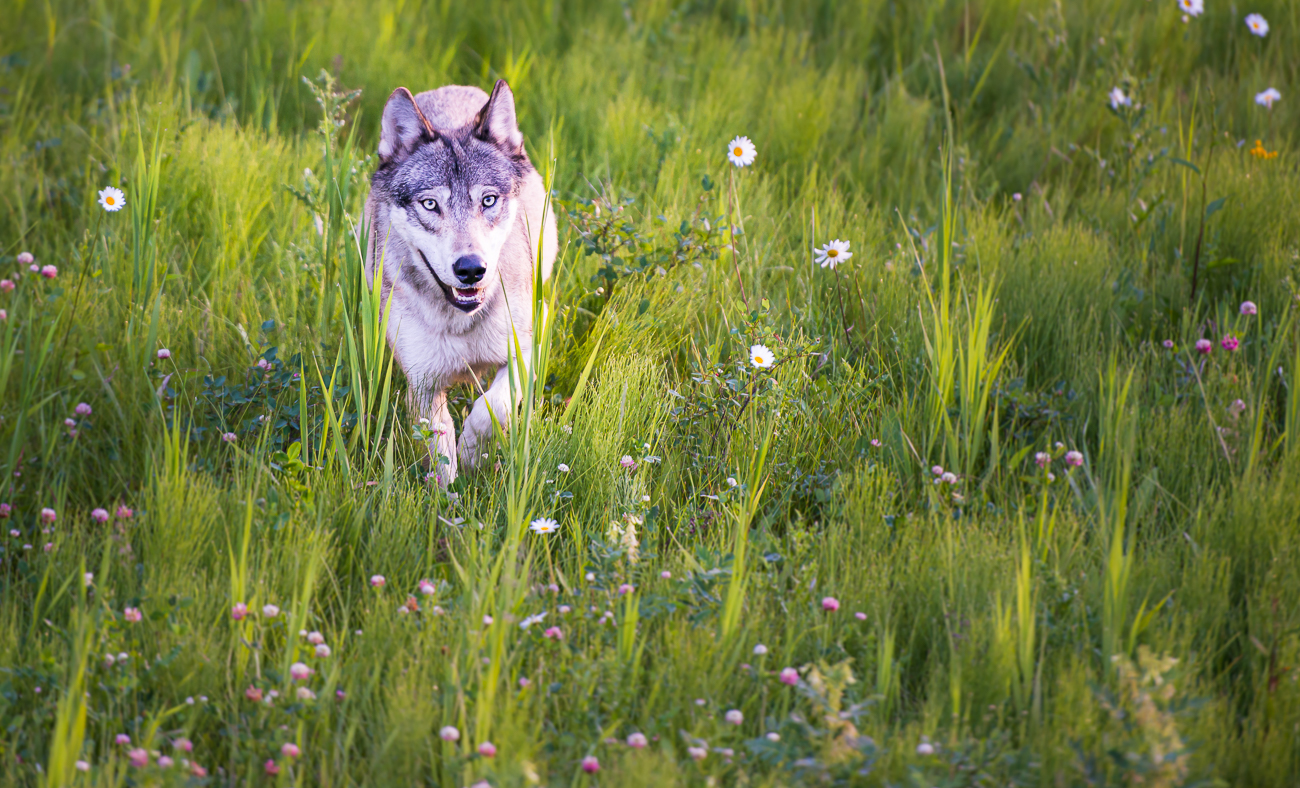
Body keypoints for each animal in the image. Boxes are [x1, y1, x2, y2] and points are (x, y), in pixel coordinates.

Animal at [363, 79, 556, 484]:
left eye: (488, 200)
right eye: (430, 205)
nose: (470, 269)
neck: (461, 322)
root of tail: (451, 87)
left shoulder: (529, 347)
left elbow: (492, 408)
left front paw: (471, 453)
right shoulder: (422, 382)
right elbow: (439, 448)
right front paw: (449, 493)